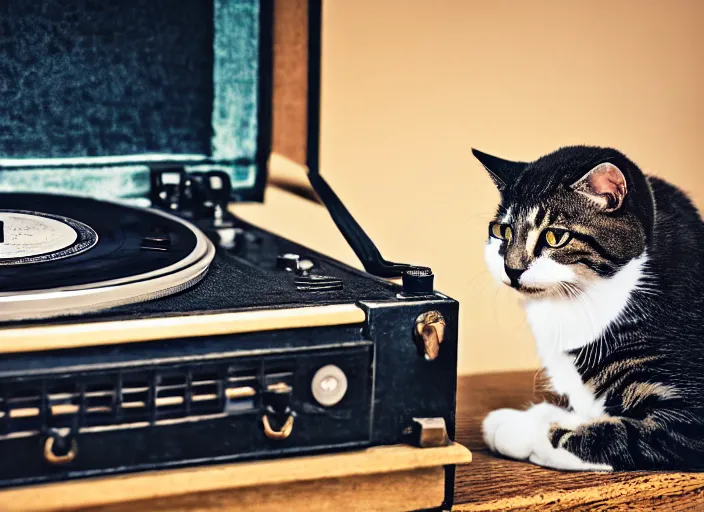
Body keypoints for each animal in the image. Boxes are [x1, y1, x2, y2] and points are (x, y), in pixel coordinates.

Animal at [476, 145, 704, 472]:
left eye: (555, 237)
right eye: (502, 231)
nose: (512, 268)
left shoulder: (692, 418)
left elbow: (609, 433)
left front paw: (523, 430)